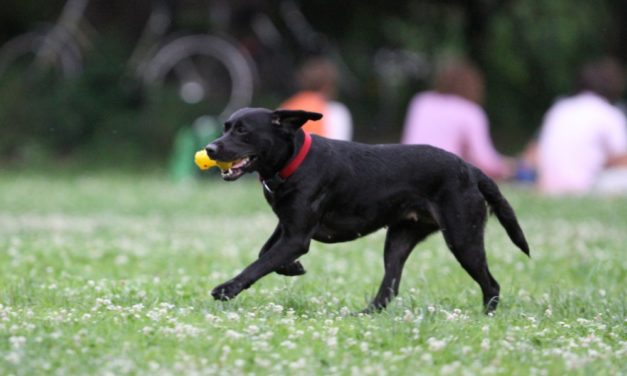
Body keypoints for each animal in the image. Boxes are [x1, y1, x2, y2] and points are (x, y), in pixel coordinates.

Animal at [206, 108, 528, 314]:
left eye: (243, 130)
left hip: (463, 238)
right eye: (226, 127)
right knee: (389, 289)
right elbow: (265, 253)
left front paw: (227, 289)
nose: (210, 149)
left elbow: (259, 264)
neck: (292, 162)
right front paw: (292, 268)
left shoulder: (297, 237)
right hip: (399, 239)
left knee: (492, 285)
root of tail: (470, 169)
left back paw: (486, 317)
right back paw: (364, 314)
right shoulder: (288, 227)